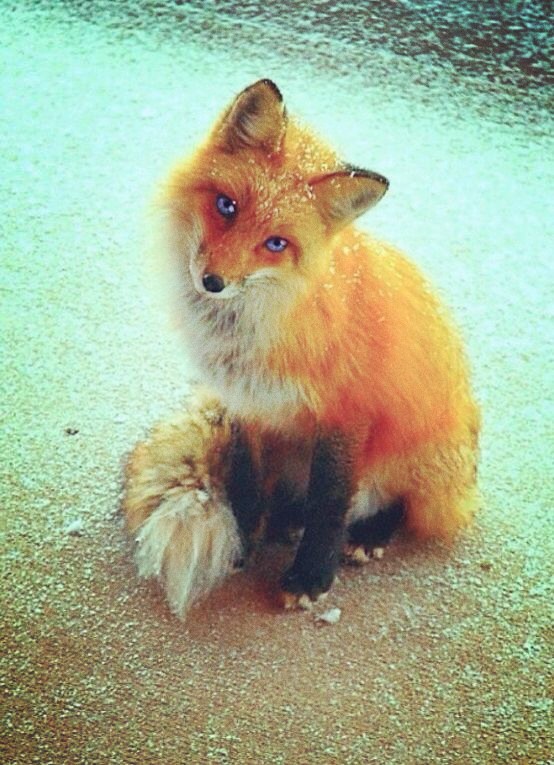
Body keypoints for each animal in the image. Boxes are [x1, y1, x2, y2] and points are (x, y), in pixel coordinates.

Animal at [124, 79, 480, 615]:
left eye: (276, 244)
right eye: (226, 206)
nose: (212, 282)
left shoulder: (346, 414)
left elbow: (330, 502)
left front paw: (311, 577)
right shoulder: (246, 404)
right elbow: (247, 483)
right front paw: (246, 540)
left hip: (419, 449)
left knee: (407, 504)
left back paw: (370, 532)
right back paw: (286, 519)